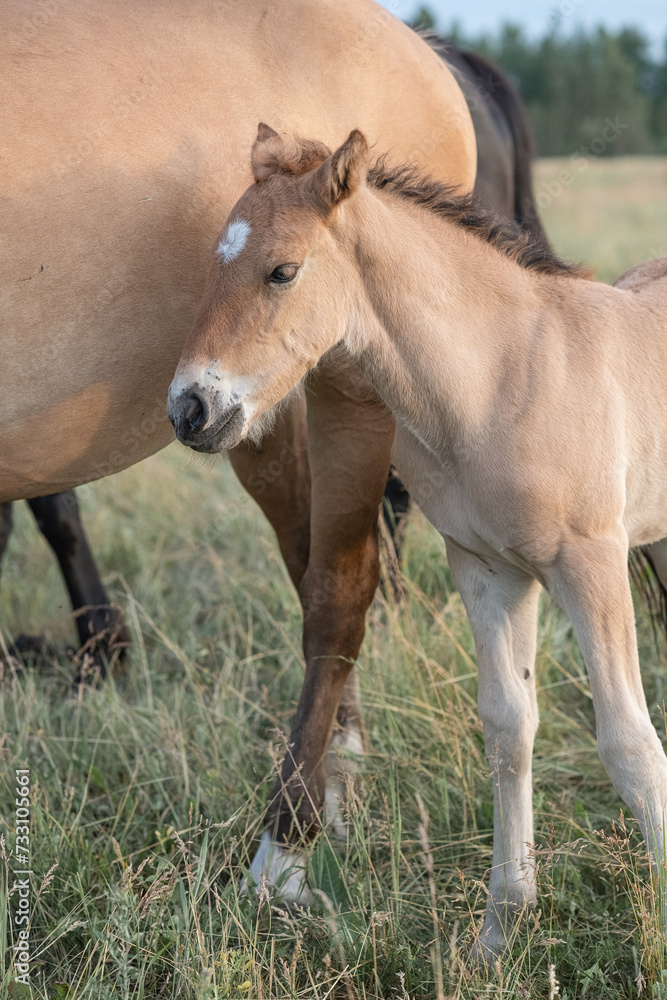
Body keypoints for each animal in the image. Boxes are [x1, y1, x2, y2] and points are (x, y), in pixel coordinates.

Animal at [168, 129, 667, 956]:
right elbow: (507, 729)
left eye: (281, 270)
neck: (503, 379)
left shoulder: (589, 562)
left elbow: (627, 743)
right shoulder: (487, 568)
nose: (189, 409)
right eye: (212, 264)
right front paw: (499, 930)